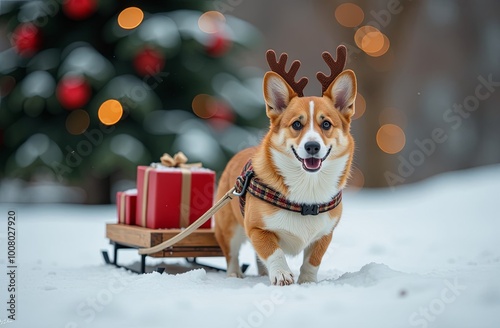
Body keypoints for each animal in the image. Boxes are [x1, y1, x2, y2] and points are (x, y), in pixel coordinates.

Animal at [215, 46, 356, 284]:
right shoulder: (257, 229)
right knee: (232, 254)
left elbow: (312, 261)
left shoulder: (325, 234)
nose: (312, 146)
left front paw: (307, 282)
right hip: (229, 228)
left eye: (326, 124)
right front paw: (282, 275)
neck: (308, 188)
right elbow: (273, 252)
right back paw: (235, 275)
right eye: (297, 124)